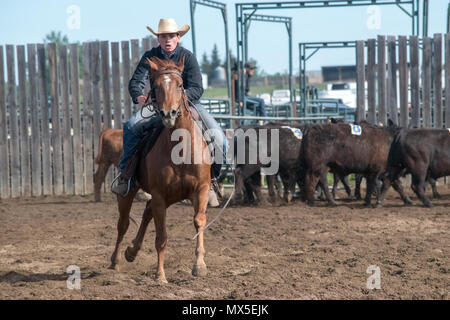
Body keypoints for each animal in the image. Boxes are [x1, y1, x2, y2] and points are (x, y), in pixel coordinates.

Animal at [110, 56, 213, 282]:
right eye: (155, 86)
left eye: (181, 84)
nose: (168, 114)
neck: (180, 150)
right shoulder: (159, 194)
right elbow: (161, 236)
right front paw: (160, 275)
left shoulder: (200, 189)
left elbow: (199, 221)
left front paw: (200, 265)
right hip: (129, 193)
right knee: (123, 224)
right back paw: (115, 261)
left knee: (146, 212)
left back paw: (132, 251)